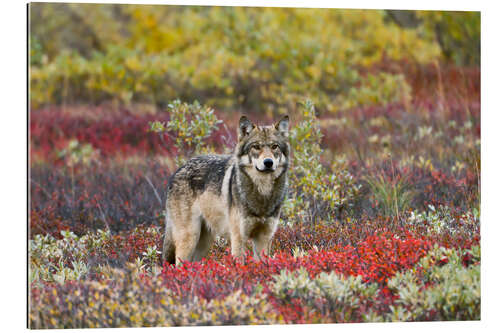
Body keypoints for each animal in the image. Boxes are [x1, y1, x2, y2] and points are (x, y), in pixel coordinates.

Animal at [162, 115, 292, 264]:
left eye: (274, 146)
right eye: (256, 147)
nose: (268, 162)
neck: (263, 193)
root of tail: (179, 169)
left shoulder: (264, 238)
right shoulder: (238, 238)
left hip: (204, 244)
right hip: (189, 238)